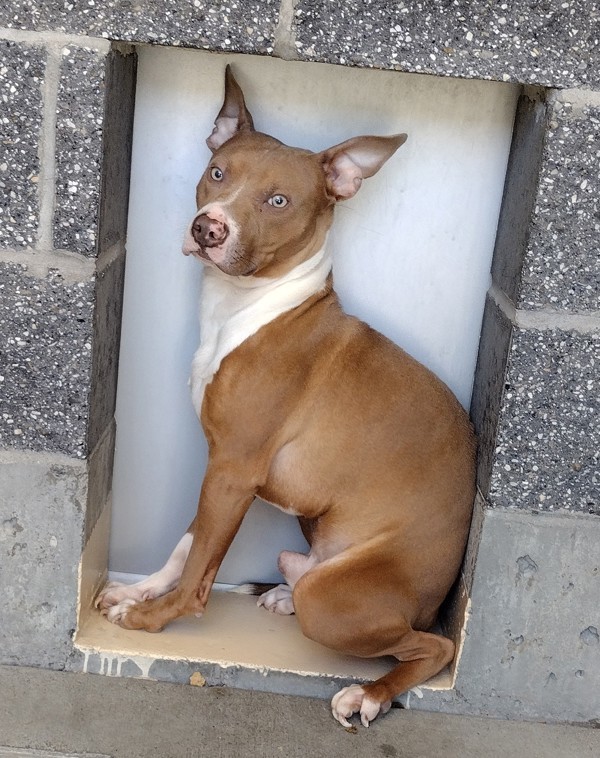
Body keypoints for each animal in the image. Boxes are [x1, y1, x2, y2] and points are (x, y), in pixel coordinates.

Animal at [96, 67, 476, 732]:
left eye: (279, 201)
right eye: (218, 172)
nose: (208, 227)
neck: (246, 308)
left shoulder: (233, 470)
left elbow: (201, 568)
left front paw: (154, 619)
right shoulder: (220, 468)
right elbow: (186, 544)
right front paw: (138, 591)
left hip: (338, 601)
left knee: (432, 647)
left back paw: (370, 693)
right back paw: (279, 596)